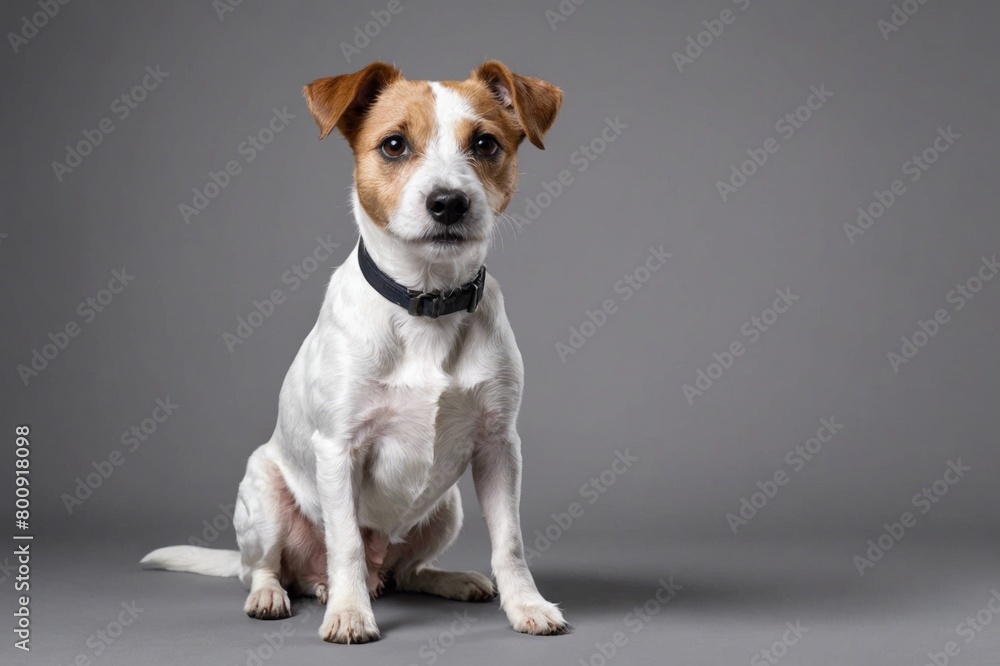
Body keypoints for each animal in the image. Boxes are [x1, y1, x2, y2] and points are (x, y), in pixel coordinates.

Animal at [140, 59, 568, 640]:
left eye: (485, 143)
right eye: (393, 145)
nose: (448, 202)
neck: (427, 303)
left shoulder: (499, 447)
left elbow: (511, 542)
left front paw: (526, 604)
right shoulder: (339, 450)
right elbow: (343, 542)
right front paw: (348, 613)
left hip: (448, 507)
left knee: (405, 572)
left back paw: (446, 579)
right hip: (264, 494)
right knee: (267, 567)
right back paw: (286, 594)